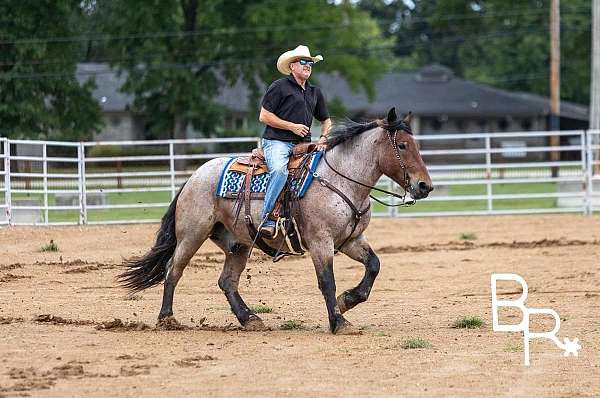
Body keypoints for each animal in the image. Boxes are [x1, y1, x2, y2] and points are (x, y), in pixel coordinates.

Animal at [119, 107, 434, 334]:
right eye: (402, 145)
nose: (425, 186)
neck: (340, 179)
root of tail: (194, 176)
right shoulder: (320, 242)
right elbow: (327, 281)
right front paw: (339, 322)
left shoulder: (351, 240)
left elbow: (374, 265)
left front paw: (347, 302)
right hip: (191, 234)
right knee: (173, 270)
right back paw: (167, 319)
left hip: (237, 243)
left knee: (227, 281)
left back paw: (250, 319)